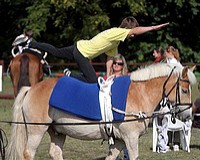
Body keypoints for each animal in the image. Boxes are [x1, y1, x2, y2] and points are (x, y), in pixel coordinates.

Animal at [6, 63, 197, 159]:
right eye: (184, 90)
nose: (188, 115)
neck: (138, 94)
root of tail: (31, 89)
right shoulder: (130, 139)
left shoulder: (119, 141)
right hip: (36, 131)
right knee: (28, 154)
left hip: (58, 132)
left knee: (55, 153)